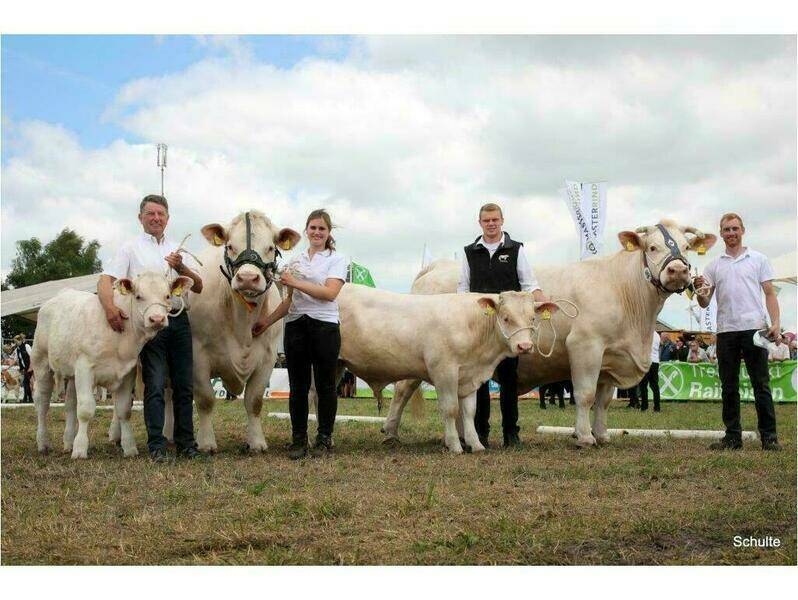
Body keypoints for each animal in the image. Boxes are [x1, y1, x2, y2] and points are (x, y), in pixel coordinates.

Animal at [31, 272, 189, 458]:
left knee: (70, 404)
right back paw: (43, 443)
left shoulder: (127, 372)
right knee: (42, 403)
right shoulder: (84, 367)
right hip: (41, 363)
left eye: (167, 296)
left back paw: (68, 442)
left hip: (71, 373)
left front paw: (129, 447)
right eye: (138, 296)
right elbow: (85, 409)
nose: (157, 319)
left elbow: (124, 410)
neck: (119, 340)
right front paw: (80, 449)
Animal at [172, 210, 300, 453]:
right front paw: (206, 443)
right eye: (230, 246)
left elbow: (254, 400)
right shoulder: (197, 355)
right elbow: (205, 399)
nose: (248, 278)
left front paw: (257, 442)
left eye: (270, 247)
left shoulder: (268, 358)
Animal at [334, 284, 558, 453]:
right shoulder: (444, 371)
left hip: (337, 366)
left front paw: (476, 444)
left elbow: (469, 411)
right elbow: (451, 409)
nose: (525, 346)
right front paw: (454, 445)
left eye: (532, 319)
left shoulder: (469, 377)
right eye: (506, 318)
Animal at [385, 219, 717, 448]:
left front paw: (602, 434)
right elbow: (584, 395)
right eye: (652, 247)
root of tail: (435, 267)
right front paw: (584, 437)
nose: (678, 271)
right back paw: (390, 432)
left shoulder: (612, 358)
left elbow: (603, 401)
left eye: (686, 246)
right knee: (402, 390)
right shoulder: (586, 346)